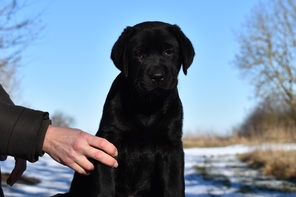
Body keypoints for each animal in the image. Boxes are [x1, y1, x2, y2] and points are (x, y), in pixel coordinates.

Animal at [59, 20, 195, 196]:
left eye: (169, 52)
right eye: (139, 54)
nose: (157, 76)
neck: (147, 106)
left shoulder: (171, 145)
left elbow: (174, 185)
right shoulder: (109, 142)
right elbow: (105, 184)